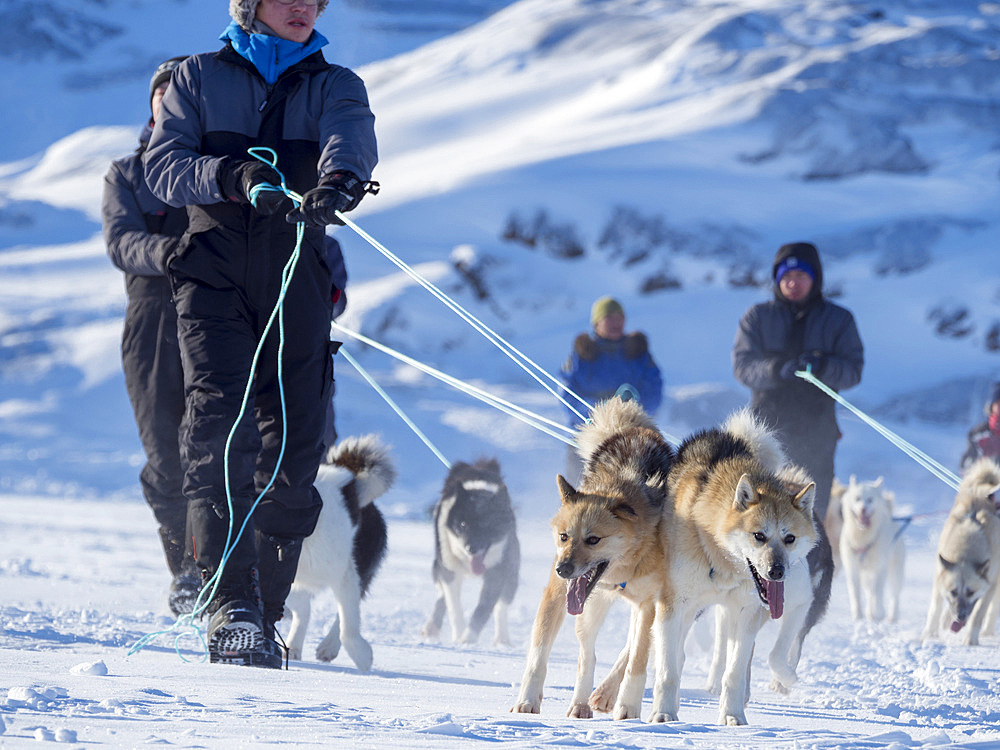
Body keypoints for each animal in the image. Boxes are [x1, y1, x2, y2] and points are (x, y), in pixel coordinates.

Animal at [512, 400, 676, 724]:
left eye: (593, 539)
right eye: (564, 536)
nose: (563, 569)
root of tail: (636, 428)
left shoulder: (649, 603)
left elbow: (637, 660)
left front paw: (628, 709)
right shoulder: (557, 594)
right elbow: (539, 653)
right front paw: (526, 701)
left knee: (630, 649)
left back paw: (607, 694)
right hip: (589, 608)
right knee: (587, 653)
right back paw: (581, 702)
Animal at [648, 412, 820, 728]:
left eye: (789, 538)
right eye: (759, 536)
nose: (777, 571)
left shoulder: (746, 614)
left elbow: (735, 672)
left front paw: (733, 715)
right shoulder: (672, 606)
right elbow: (668, 669)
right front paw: (663, 714)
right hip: (687, 610)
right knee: (676, 653)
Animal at [836, 482, 908, 624]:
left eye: (870, 499)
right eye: (857, 498)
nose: (863, 509)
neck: (862, 539)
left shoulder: (880, 568)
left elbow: (878, 592)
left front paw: (879, 613)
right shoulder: (852, 569)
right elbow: (855, 594)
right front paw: (858, 616)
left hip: (895, 572)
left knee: (894, 595)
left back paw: (891, 616)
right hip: (865, 576)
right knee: (869, 593)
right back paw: (870, 613)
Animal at [920, 458, 1000, 648]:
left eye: (971, 592)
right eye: (953, 592)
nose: (960, 616)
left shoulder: (990, 585)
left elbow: (978, 614)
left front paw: (971, 639)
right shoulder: (939, 578)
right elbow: (935, 609)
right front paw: (930, 633)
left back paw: (986, 630)